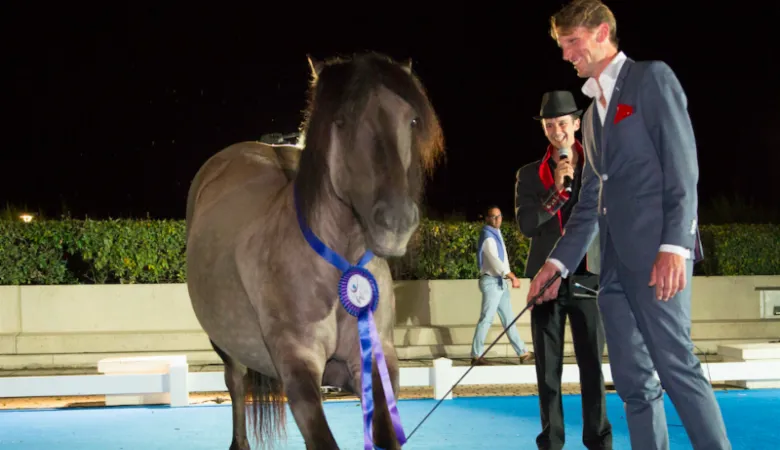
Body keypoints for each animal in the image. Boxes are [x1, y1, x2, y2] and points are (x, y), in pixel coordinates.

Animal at [184, 52, 445, 450]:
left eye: (412, 120)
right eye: (340, 120)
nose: (396, 221)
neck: (338, 271)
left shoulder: (377, 362)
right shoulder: (298, 367)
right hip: (226, 345)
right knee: (236, 382)